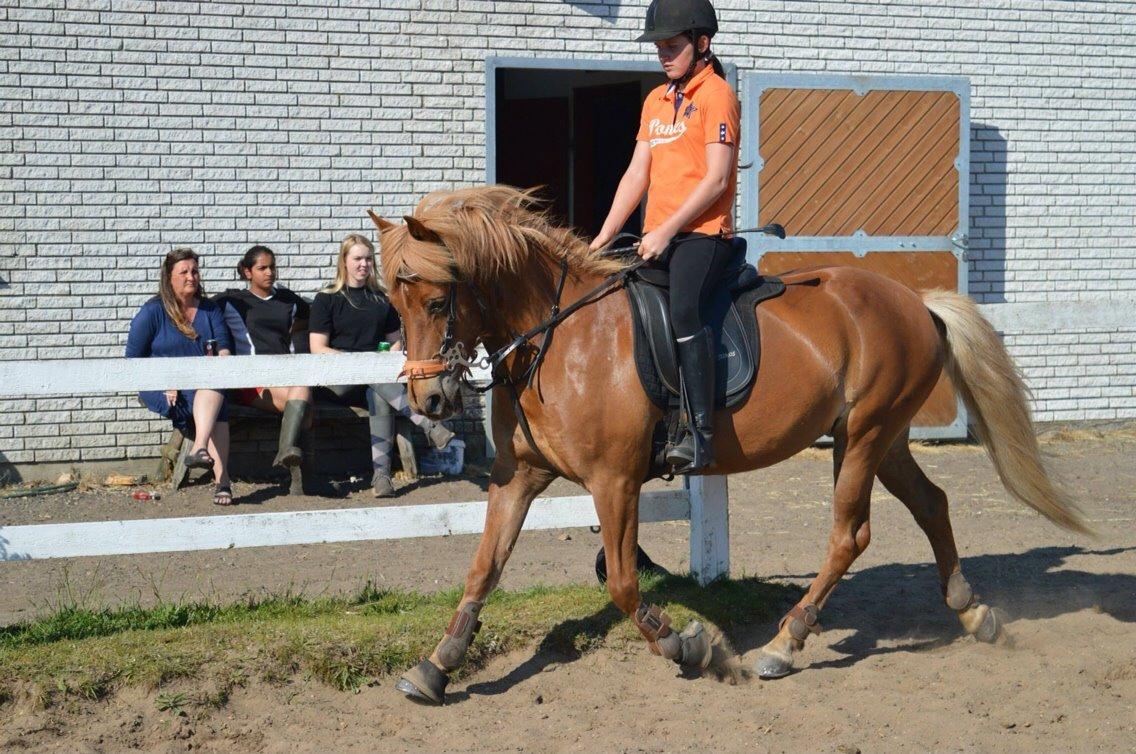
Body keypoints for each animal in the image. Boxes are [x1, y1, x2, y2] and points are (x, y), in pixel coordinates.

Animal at [368, 185, 1086, 704]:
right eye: (394, 306)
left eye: (438, 302)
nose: (429, 402)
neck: (559, 338)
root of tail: (913, 300)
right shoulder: (517, 476)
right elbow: (483, 568)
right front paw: (438, 665)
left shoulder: (614, 480)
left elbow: (623, 583)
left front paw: (688, 647)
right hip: (884, 438)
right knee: (932, 504)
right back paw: (972, 612)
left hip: (863, 436)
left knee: (849, 535)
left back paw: (783, 645)